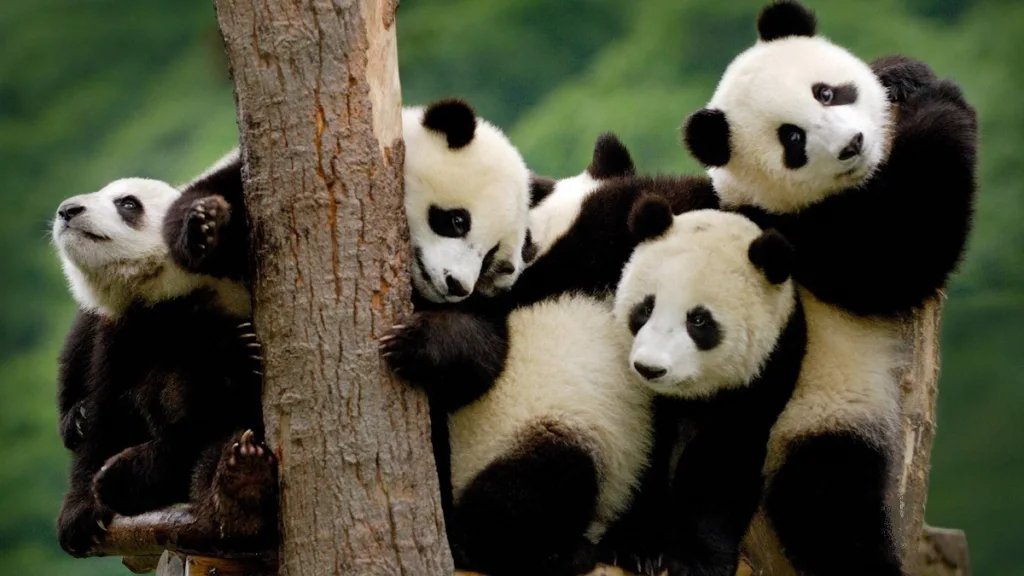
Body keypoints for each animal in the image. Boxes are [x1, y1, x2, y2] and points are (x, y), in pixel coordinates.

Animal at [598, 203, 806, 576]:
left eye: (698, 320)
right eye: (646, 308)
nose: (650, 368)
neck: (687, 395)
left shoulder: (767, 370)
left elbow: (723, 460)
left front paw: (696, 560)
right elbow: (644, 445)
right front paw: (635, 546)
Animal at [680, 2, 978, 574]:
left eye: (826, 92)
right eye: (792, 139)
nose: (852, 145)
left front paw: (903, 75)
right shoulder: (794, 236)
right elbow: (898, 255)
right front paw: (943, 103)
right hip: (811, 415)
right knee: (828, 503)